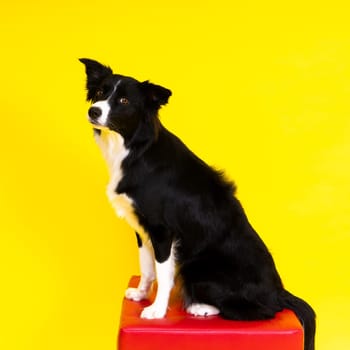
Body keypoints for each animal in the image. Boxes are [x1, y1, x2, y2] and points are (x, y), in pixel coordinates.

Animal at [80, 58, 316, 348]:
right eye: (100, 92)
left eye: (123, 100)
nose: (94, 111)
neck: (135, 148)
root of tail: (279, 291)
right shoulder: (141, 229)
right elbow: (147, 268)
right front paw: (141, 294)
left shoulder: (162, 230)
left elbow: (163, 273)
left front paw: (157, 310)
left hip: (197, 266)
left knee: (260, 310)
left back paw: (201, 306)